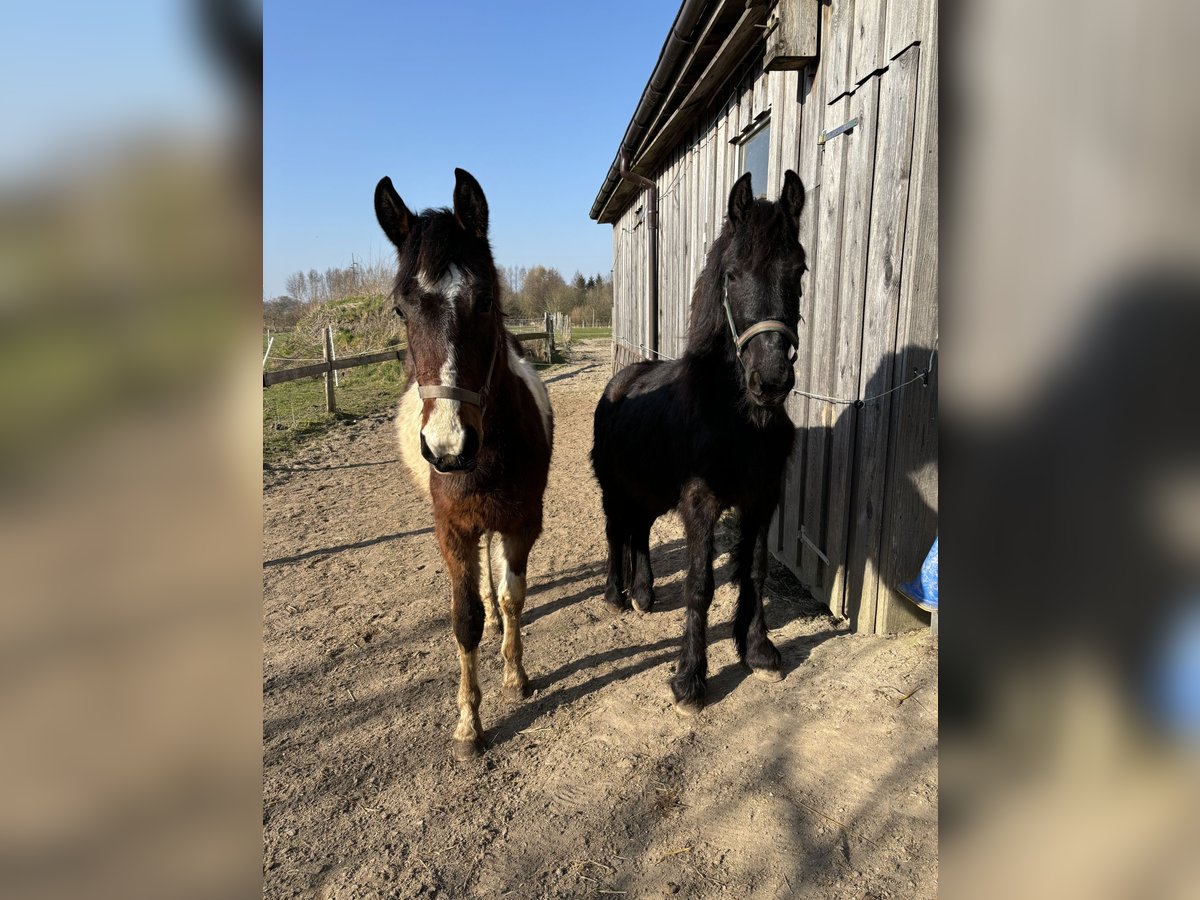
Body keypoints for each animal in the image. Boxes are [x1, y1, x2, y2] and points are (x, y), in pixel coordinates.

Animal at [374, 168, 552, 763]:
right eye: (401, 309)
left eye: (486, 299)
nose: (447, 446)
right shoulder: (452, 530)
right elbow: (465, 619)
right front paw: (469, 724)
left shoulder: (521, 520)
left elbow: (513, 595)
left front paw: (515, 676)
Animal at [590, 170, 806, 710]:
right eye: (731, 275)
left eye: (799, 271)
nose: (770, 380)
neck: (736, 418)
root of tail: (618, 384)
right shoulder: (700, 502)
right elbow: (699, 585)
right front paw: (690, 677)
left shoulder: (761, 500)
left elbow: (754, 570)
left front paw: (759, 650)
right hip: (614, 489)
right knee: (615, 531)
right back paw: (615, 596)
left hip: (648, 488)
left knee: (639, 531)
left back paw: (644, 593)